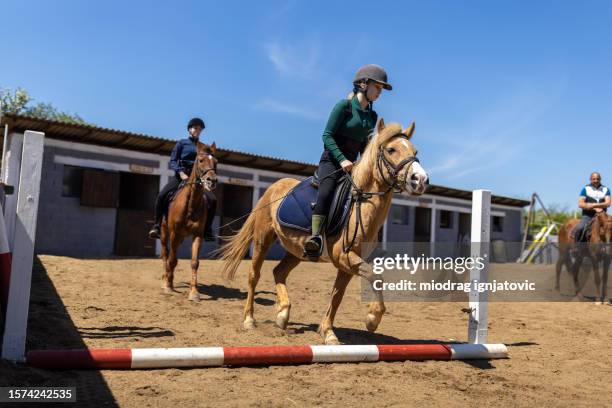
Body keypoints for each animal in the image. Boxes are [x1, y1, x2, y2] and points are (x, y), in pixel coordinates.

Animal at [161, 142, 219, 302]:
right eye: (200, 160)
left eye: (216, 162)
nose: (212, 181)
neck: (191, 204)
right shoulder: (174, 233)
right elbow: (172, 260)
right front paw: (168, 286)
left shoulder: (197, 234)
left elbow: (194, 263)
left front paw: (194, 293)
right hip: (164, 232)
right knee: (165, 254)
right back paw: (165, 280)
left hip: (181, 237)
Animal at [218, 119, 428, 342]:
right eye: (391, 149)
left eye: (415, 150)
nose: (420, 180)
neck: (360, 205)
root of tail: (273, 187)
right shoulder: (344, 257)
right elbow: (374, 276)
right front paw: (372, 319)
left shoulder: (347, 264)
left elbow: (337, 296)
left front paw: (328, 331)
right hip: (262, 240)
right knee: (254, 275)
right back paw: (249, 319)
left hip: (298, 251)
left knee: (279, 272)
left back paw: (283, 314)